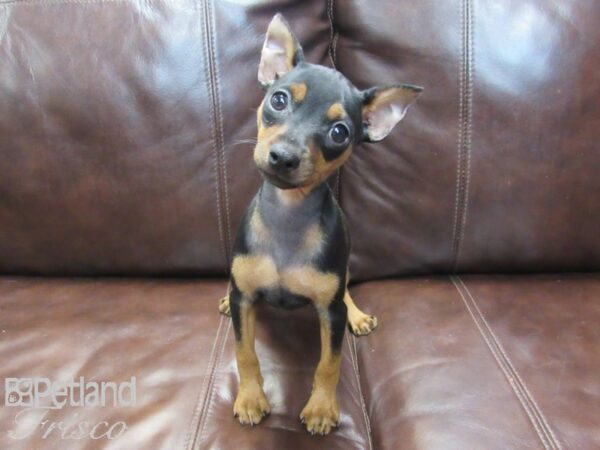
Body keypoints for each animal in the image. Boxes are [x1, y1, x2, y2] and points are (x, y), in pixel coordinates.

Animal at [219, 14, 422, 436]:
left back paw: (358, 315)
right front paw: (250, 398)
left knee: (345, 291)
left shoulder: (330, 312)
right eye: (278, 99)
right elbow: (245, 351)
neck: (288, 217)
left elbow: (330, 362)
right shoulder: (245, 299)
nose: (283, 157)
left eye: (339, 133)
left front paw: (322, 408)